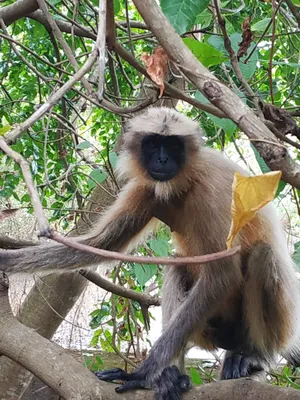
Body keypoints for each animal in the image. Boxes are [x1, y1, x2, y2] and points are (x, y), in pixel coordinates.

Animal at [0, 107, 300, 400]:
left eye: (173, 145)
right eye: (154, 144)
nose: (163, 159)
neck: (187, 179)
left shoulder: (213, 190)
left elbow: (223, 274)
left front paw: (141, 374)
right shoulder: (146, 188)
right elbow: (102, 244)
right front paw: (6, 260)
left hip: (275, 328)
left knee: (262, 255)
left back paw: (254, 356)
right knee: (178, 266)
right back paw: (171, 377)